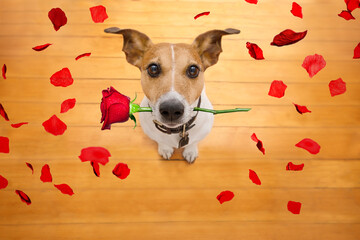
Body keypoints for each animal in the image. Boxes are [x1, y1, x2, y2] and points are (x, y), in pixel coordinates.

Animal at [104, 27, 239, 163]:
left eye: (193, 70)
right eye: (153, 68)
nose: (171, 109)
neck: (177, 131)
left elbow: (192, 143)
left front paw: (190, 151)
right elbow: (162, 142)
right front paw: (165, 149)